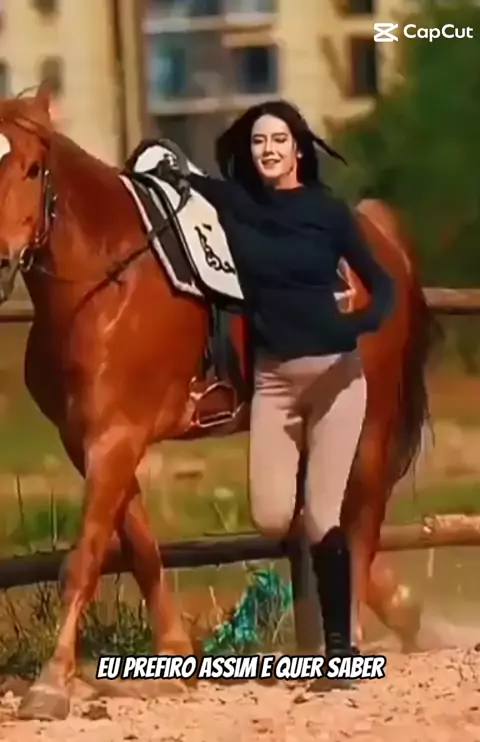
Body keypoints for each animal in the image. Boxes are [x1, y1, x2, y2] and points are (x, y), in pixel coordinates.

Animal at [0, 82, 438, 721]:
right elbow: (140, 548)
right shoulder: (90, 440)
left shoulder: (116, 437)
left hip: (370, 418)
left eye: (33, 168)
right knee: (319, 516)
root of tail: (376, 236)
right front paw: (173, 659)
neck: (106, 278)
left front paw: (52, 683)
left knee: (360, 518)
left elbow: (83, 558)